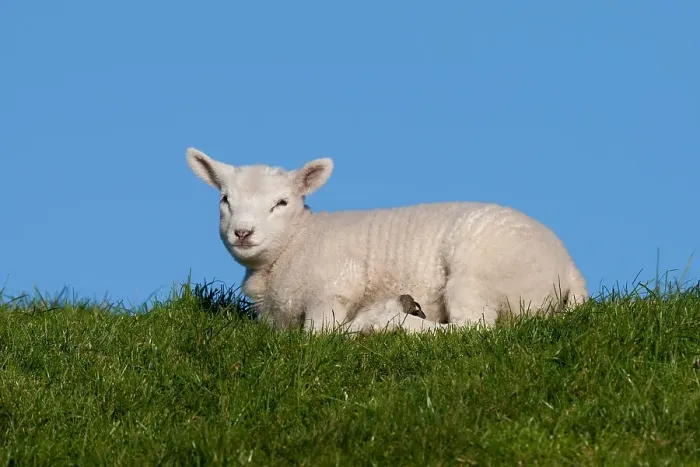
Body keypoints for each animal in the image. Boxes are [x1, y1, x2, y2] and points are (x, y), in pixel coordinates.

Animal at [185, 147, 589, 334]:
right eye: (225, 200)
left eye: (281, 203)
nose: (243, 232)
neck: (296, 243)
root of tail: (569, 267)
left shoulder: (335, 288)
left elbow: (321, 335)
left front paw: (371, 321)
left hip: (480, 273)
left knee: (471, 330)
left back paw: (395, 322)